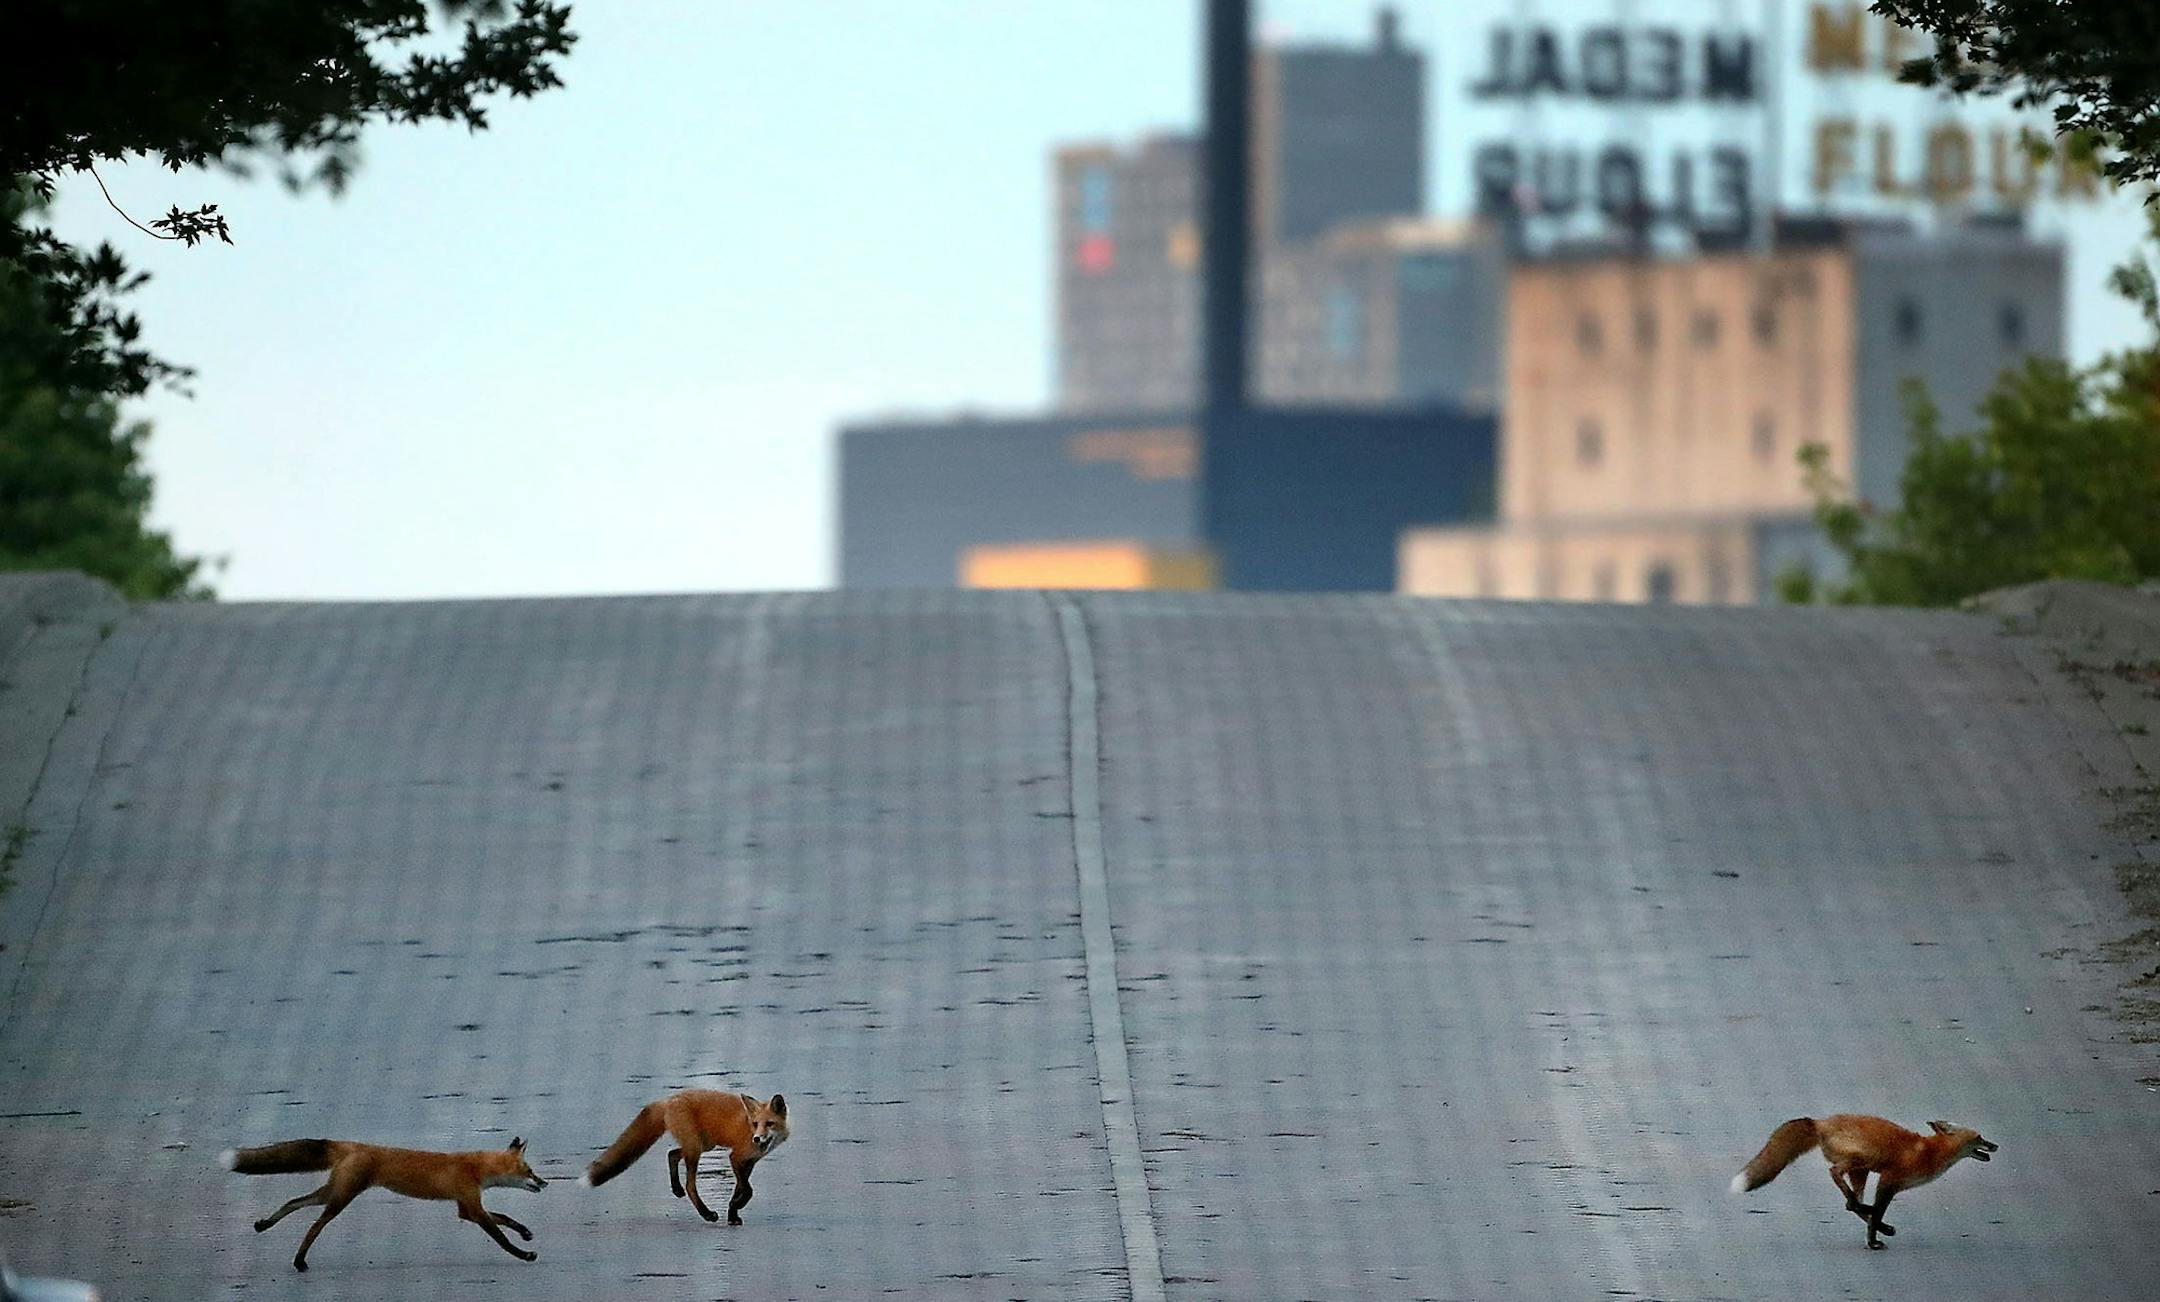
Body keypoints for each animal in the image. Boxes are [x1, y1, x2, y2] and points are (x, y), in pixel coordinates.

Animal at [221, 1136, 546, 1272]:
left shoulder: (465, 1208)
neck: (476, 1168)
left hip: (332, 1192)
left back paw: (264, 1224)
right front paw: (524, 1254)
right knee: (314, 1225)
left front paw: (525, 1232)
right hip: (340, 1199)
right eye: (530, 1171)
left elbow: (506, 1219)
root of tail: (351, 1144)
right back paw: (299, 1261)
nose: (545, 1183)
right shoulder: (473, 1208)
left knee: (294, 1201)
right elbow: (501, 1237)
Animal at [582, 1089, 788, 1225]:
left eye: (769, 1124)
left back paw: (676, 1189)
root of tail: (667, 1099)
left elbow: (739, 1189)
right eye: (755, 1124)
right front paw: (738, 1205)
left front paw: (733, 1214)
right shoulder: (736, 1157)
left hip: (701, 1145)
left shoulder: (749, 1162)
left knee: (672, 1154)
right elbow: (747, 1190)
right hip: (696, 1148)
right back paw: (706, 1213)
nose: (756, 1138)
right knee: (690, 1185)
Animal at [1730, 1114, 1997, 1249]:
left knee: (1851, 1203)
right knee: (1836, 1175)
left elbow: (1875, 1213)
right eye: (1979, 1137)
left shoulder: (1889, 1183)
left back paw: (1872, 1216)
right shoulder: (1889, 1180)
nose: (1995, 1146)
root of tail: (1820, 1122)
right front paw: (1872, 1240)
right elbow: (1878, 1211)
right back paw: (1871, 1216)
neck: (1930, 1152)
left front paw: (1877, 1233)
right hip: (1862, 1159)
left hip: (1863, 1170)